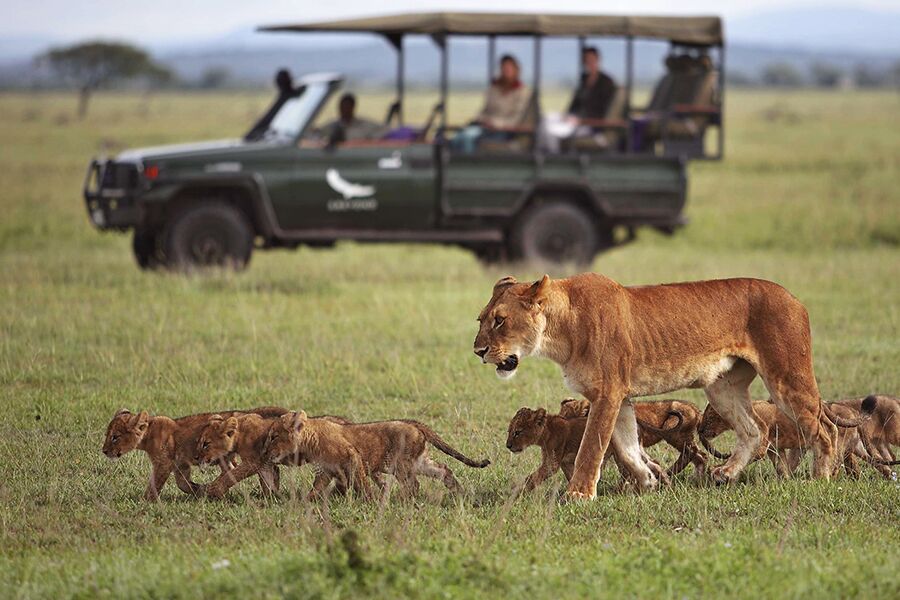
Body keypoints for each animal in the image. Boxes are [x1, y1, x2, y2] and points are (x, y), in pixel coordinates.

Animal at [101, 406, 288, 501]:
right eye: (107, 435)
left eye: (115, 437)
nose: (104, 451)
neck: (148, 435)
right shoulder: (180, 464)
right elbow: (182, 484)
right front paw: (200, 490)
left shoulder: (163, 463)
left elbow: (154, 484)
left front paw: (145, 501)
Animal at [197, 412, 352, 499]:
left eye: (206, 444)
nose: (197, 458)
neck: (240, 434)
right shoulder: (266, 463)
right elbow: (268, 480)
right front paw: (269, 498)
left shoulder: (253, 462)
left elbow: (232, 475)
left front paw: (214, 490)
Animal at [265, 411, 490, 500]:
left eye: (274, 436)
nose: (265, 452)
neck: (310, 439)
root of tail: (415, 424)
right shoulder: (326, 470)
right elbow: (317, 489)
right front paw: (308, 501)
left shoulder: (352, 457)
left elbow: (361, 483)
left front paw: (369, 500)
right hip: (419, 461)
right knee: (443, 469)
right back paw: (458, 491)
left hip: (401, 463)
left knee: (413, 484)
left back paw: (401, 500)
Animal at [698, 397, 876, 478]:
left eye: (710, 417)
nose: (699, 428)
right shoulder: (774, 449)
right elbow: (782, 466)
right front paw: (784, 480)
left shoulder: (762, 446)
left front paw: (717, 469)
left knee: (835, 457)